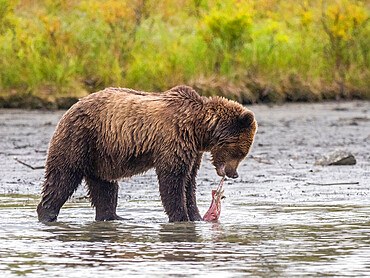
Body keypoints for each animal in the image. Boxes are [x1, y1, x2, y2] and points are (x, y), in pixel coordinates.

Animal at [36, 84, 258, 222]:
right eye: (240, 152)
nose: (233, 174)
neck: (198, 128)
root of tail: (72, 106)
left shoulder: (193, 150)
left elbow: (189, 182)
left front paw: (195, 217)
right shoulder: (174, 138)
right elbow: (173, 180)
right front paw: (181, 218)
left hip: (101, 155)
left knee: (105, 187)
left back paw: (113, 216)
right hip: (81, 138)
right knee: (63, 176)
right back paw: (47, 214)